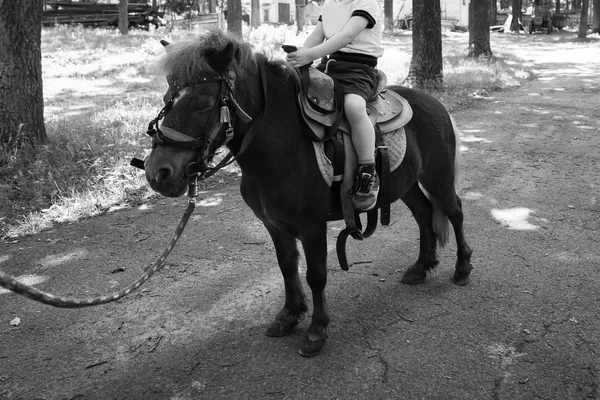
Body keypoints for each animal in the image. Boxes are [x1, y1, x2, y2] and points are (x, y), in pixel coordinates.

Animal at [143, 29, 472, 358]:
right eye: (166, 99)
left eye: (202, 102)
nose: (157, 173)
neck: (282, 145)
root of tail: (435, 103)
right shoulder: (274, 224)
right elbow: (287, 266)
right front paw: (289, 315)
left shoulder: (312, 226)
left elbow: (316, 275)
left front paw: (317, 330)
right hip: (407, 184)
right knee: (424, 213)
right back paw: (420, 268)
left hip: (438, 177)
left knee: (455, 212)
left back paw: (462, 268)